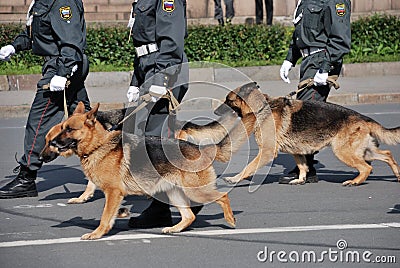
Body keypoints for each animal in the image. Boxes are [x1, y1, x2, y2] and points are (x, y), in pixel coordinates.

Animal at [41, 102, 234, 239]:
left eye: (69, 129)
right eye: (61, 128)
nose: (41, 157)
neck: (98, 145)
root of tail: (200, 148)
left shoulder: (113, 193)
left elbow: (105, 217)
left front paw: (96, 234)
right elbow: (107, 213)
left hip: (195, 191)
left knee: (223, 196)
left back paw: (230, 221)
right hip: (174, 192)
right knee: (189, 216)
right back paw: (174, 228)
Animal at [177, 82, 400, 185]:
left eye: (228, 101)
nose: (215, 112)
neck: (262, 107)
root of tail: (364, 118)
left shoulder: (267, 152)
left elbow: (249, 167)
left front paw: (236, 179)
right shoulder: (296, 151)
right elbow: (302, 165)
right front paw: (300, 179)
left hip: (344, 152)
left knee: (366, 168)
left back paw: (355, 181)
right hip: (363, 150)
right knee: (387, 155)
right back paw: (397, 175)